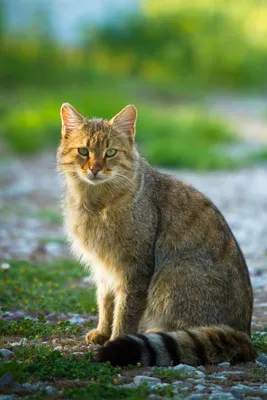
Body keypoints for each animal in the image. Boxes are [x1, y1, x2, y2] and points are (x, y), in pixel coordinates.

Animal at [57, 102, 256, 366]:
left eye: (110, 153)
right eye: (83, 151)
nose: (95, 169)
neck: (96, 203)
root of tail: (245, 335)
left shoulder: (134, 268)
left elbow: (125, 310)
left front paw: (116, 338)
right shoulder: (104, 267)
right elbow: (106, 303)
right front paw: (102, 331)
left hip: (173, 273)